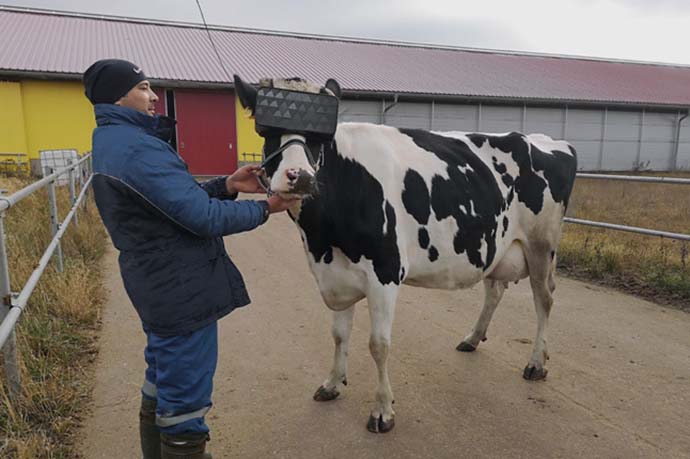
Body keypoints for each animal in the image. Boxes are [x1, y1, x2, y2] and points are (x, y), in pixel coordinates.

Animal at [233, 75, 578, 433]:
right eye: (266, 131)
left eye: (321, 137)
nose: (299, 176)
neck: (322, 239)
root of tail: (546, 140)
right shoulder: (336, 274)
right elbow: (339, 335)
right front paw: (332, 384)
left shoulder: (385, 272)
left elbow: (378, 344)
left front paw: (382, 410)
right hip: (495, 244)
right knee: (495, 290)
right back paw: (472, 338)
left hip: (542, 245)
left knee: (544, 299)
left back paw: (536, 363)